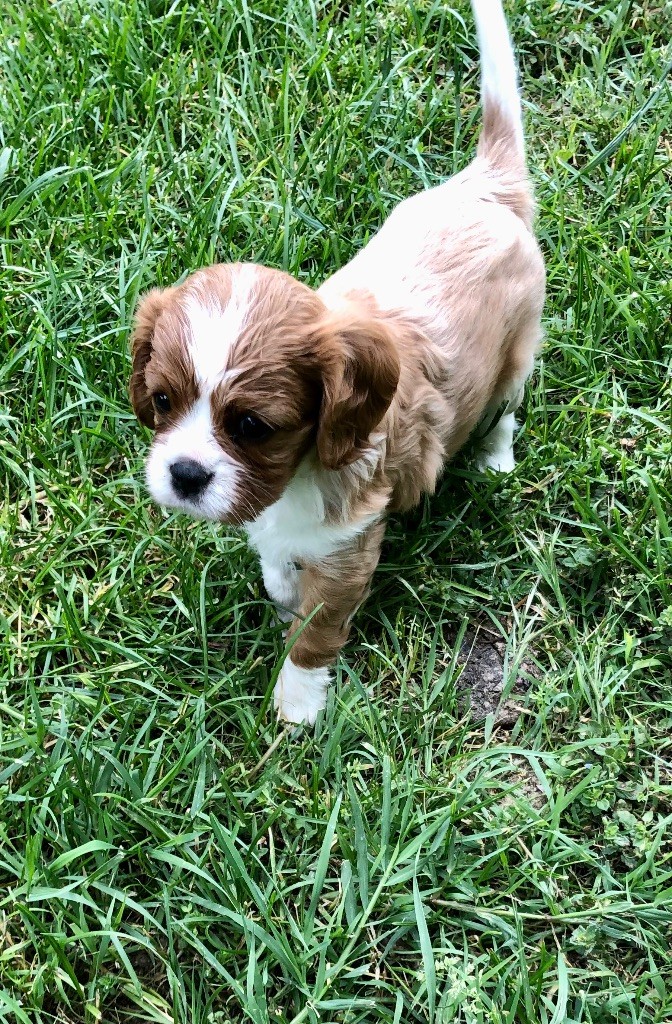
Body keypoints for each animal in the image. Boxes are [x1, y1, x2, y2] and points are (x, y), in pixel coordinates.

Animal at [128, 0, 544, 729]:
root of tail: (485, 187)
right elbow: (276, 565)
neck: (293, 478)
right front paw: (281, 589)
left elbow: (317, 633)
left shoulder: (350, 549)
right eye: (162, 401)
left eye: (252, 427)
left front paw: (296, 706)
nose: (184, 474)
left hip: (520, 351)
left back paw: (495, 458)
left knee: (506, 410)